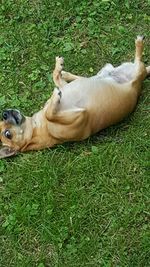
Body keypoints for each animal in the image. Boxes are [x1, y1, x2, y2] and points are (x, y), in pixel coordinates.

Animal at [0, 35, 149, 157]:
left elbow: (55, 79)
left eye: (1, 121)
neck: (38, 128)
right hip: (138, 71)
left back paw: (64, 72)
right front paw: (55, 97)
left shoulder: (63, 89)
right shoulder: (81, 117)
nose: (4, 113)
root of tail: (139, 81)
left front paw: (58, 69)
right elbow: (50, 113)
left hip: (104, 71)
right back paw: (139, 43)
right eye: (7, 134)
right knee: (139, 61)